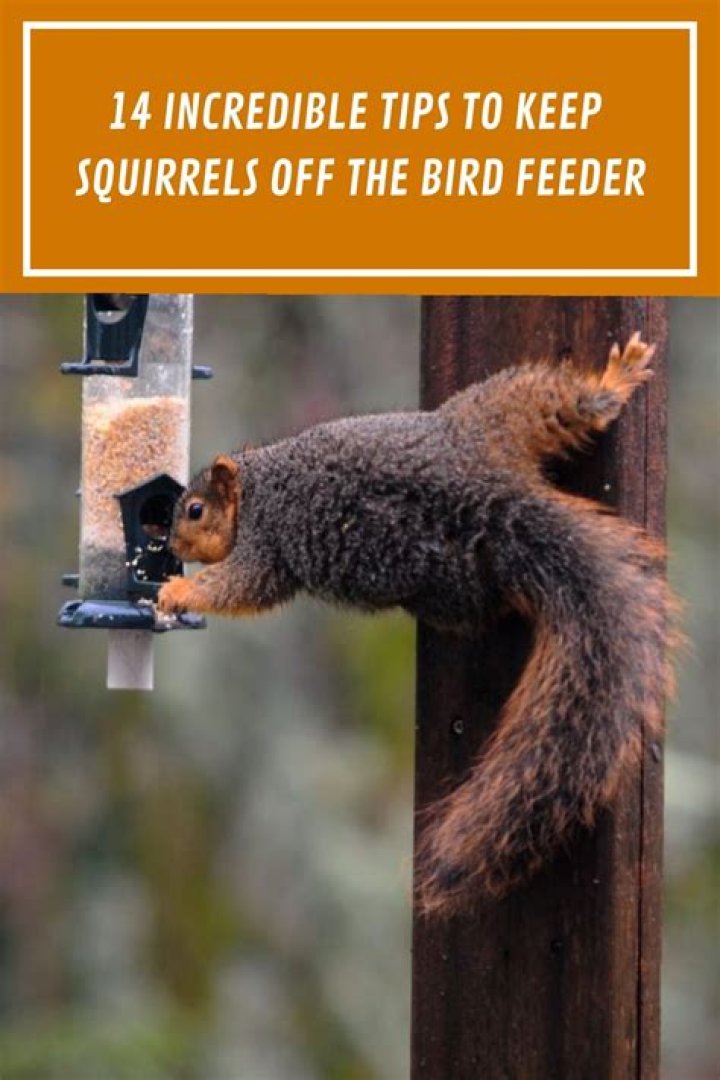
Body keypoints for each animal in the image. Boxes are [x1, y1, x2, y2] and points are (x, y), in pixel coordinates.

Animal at [158, 333, 676, 917]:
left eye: (195, 511)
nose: (172, 546)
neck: (257, 487)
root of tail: (491, 505)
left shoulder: (265, 547)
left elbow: (240, 587)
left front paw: (176, 591)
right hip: (493, 419)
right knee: (563, 405)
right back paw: (615, 381)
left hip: (455, 572)